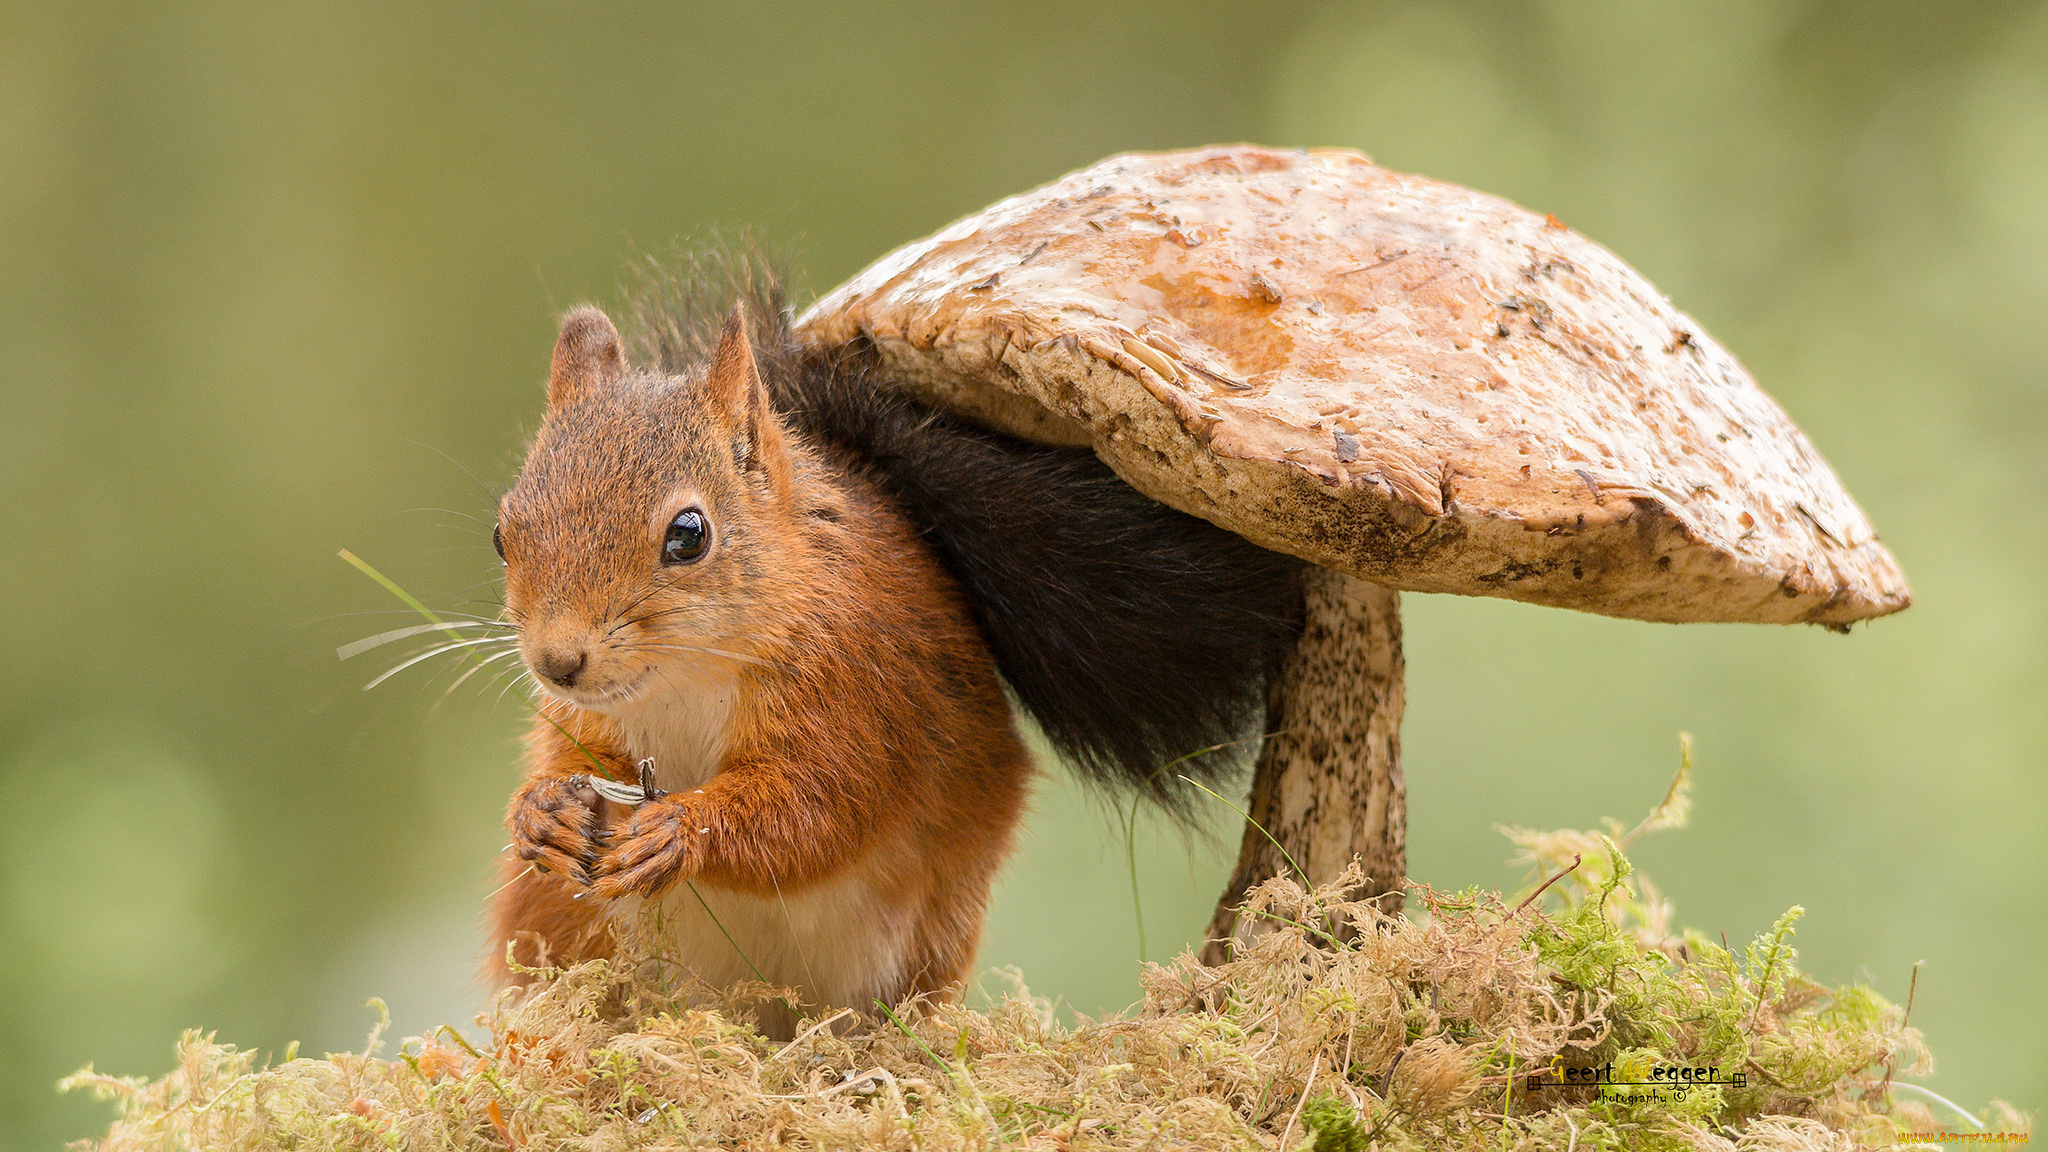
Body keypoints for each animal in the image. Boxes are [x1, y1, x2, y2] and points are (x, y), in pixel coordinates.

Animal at [487, 264, 1302, 1037]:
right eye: (503, 531)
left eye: (689, 535)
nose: (557, 662)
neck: (686, 677)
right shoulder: (589, 720)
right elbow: (566, 758)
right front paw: (542, 812)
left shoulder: (860, 684)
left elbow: (821, 805)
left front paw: (681, 830)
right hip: (558, 922)